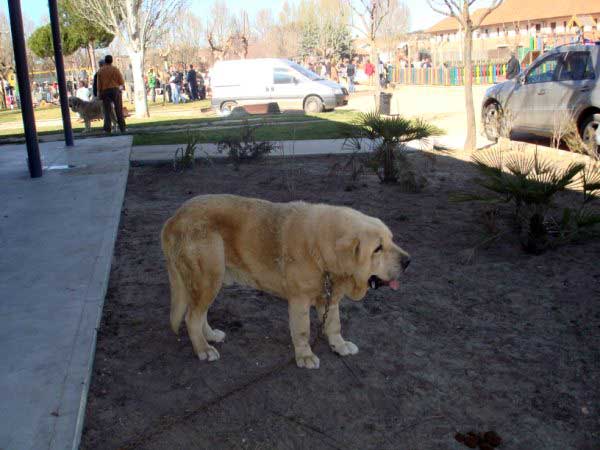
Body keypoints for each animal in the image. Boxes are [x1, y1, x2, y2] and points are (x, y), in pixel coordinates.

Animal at [162, 194, 410, 370]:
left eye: (392, 240)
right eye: (378, 248)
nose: (408, 261)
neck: (322, 250)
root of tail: (174, 217)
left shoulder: (328, 299)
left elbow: (334, 325)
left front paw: (339, 345)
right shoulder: (299, 301)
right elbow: (302, 331)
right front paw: (305, 356)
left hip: (211, 280)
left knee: (199, 314)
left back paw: (210, 336)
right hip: (208, 278)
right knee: (192, 317)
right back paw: (203, 348)